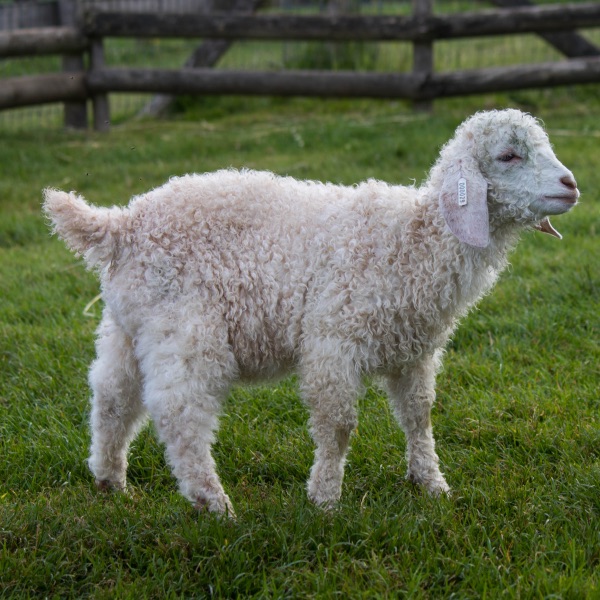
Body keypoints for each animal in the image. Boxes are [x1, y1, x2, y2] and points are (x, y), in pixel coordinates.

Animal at [42, 109, 576, 516]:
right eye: (508, 156)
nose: (570, 184)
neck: (413, 239)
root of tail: (120, 225)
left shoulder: (414, 351)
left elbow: (419, 416)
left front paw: (430, 484)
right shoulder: (334, 339)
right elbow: (337, 424)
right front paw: (325, 499)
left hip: (130, 326)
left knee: (112, 396)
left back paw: (110, 481)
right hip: (187, 330)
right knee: (180, 413)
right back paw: (214, 503)